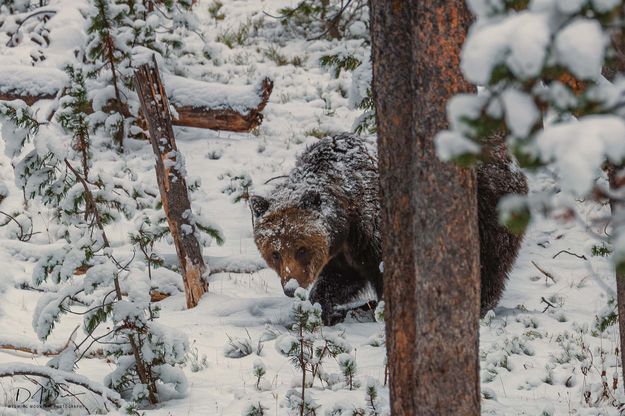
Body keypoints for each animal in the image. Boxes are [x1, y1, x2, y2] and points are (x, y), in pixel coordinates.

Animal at [249, 132, 528, 322]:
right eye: (275, 252)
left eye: (301, 248)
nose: (291, 287)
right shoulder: (344, 251)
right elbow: (339, 279)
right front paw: (322, 309)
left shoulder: (375, 230)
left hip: (491, 208)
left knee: (490, 263)